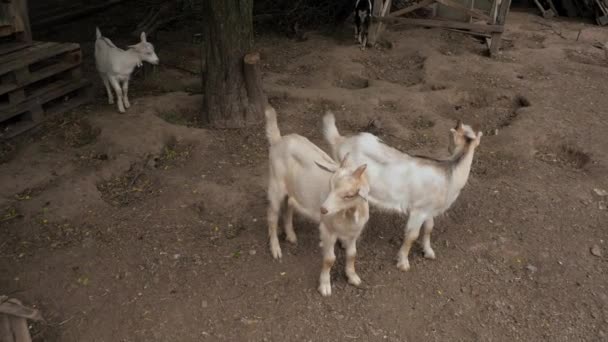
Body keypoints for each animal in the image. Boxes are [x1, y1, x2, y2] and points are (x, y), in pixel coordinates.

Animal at [266, 107, 370, 296]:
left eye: (349, 195)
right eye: (330, 185)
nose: (323, 210)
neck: (348, 215)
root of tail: (279, 140)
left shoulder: (354, 233)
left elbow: (352, 254)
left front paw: (353, 277)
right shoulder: (327, 229)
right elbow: (329, 259)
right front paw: (325, 286)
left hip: (294, 189)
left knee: (289, 206)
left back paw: (291, 235)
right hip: (275, 184)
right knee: (272, 215)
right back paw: (276, 249)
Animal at [326, 113, 482, 272]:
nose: (450, 148)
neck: (449, 174)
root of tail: (339, 140)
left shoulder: (429, 209)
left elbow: (429, 228)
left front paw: (428, 252)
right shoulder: (418, 210)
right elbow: (412, 235)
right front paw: (403, 263)